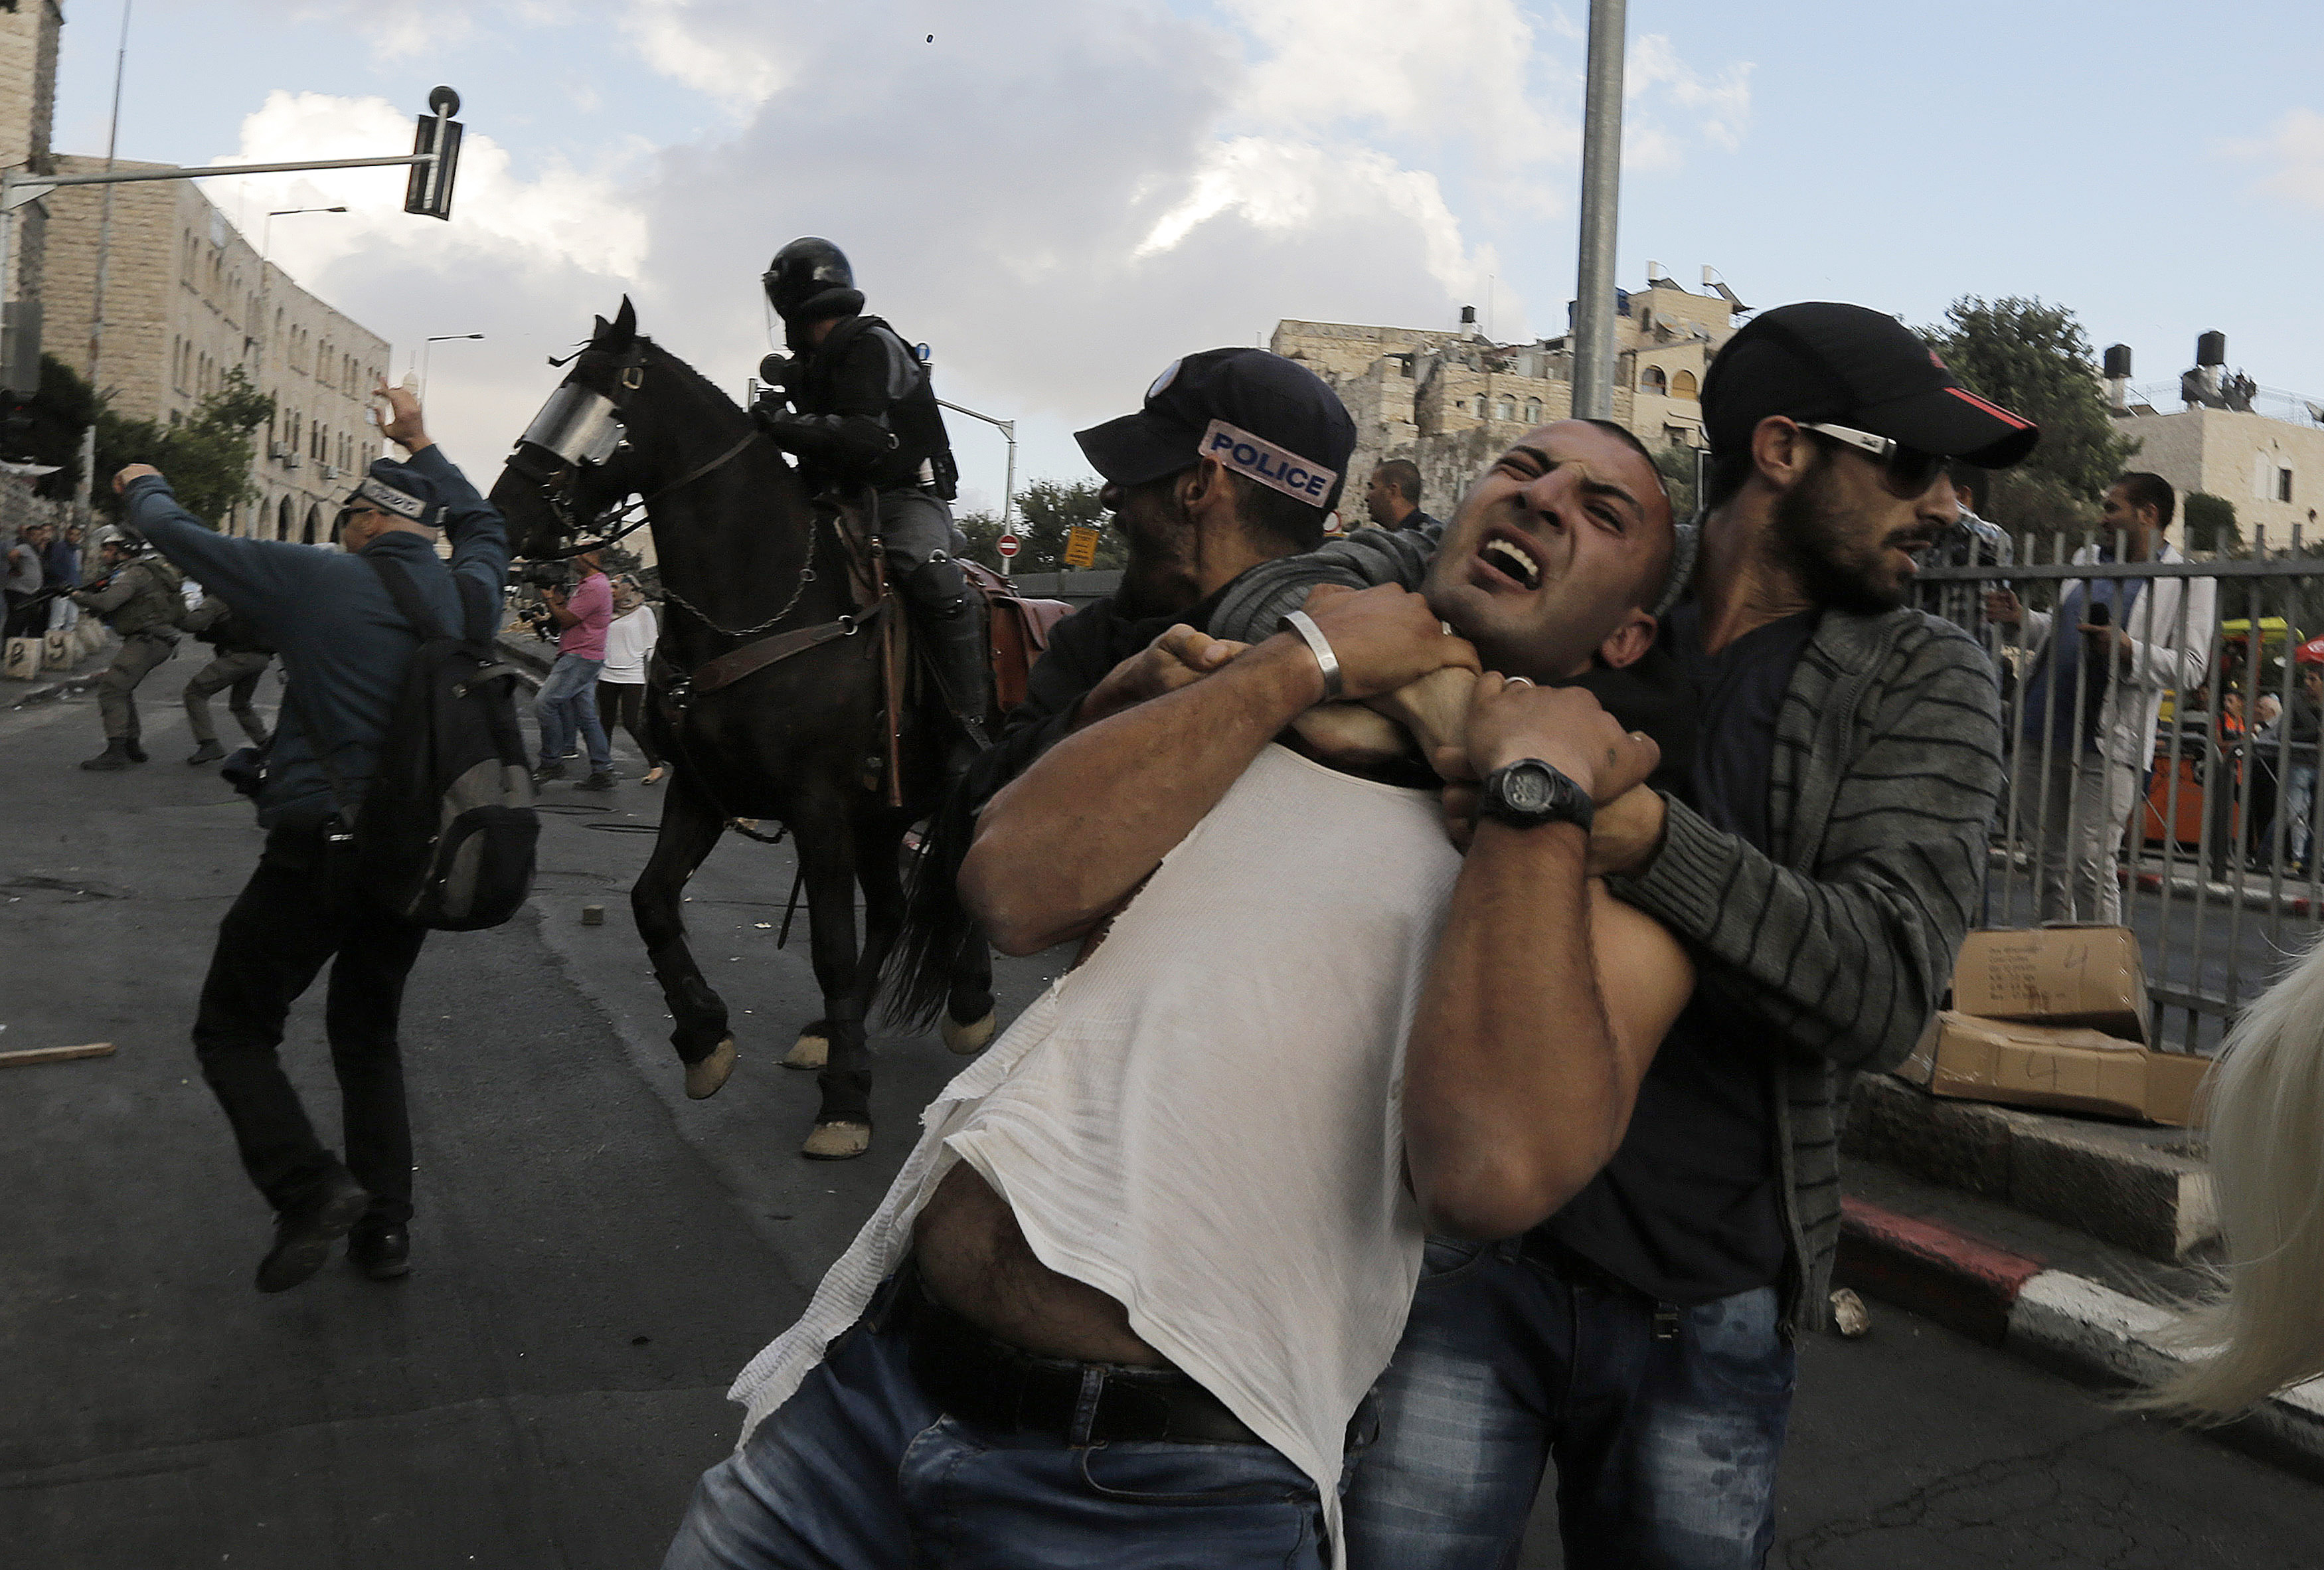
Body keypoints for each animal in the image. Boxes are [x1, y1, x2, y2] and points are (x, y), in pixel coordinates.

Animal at [497, 300, 990, 1163]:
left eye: (594, 401)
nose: (500, 512)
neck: (762, 599)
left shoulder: (818, 808)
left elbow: (828, 946)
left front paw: (845, 1102)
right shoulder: (703, 792)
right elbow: (651, 902)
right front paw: (704, 1038)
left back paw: (966, 1005)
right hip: (884, 814)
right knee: (894, 909)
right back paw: (834, 1029)